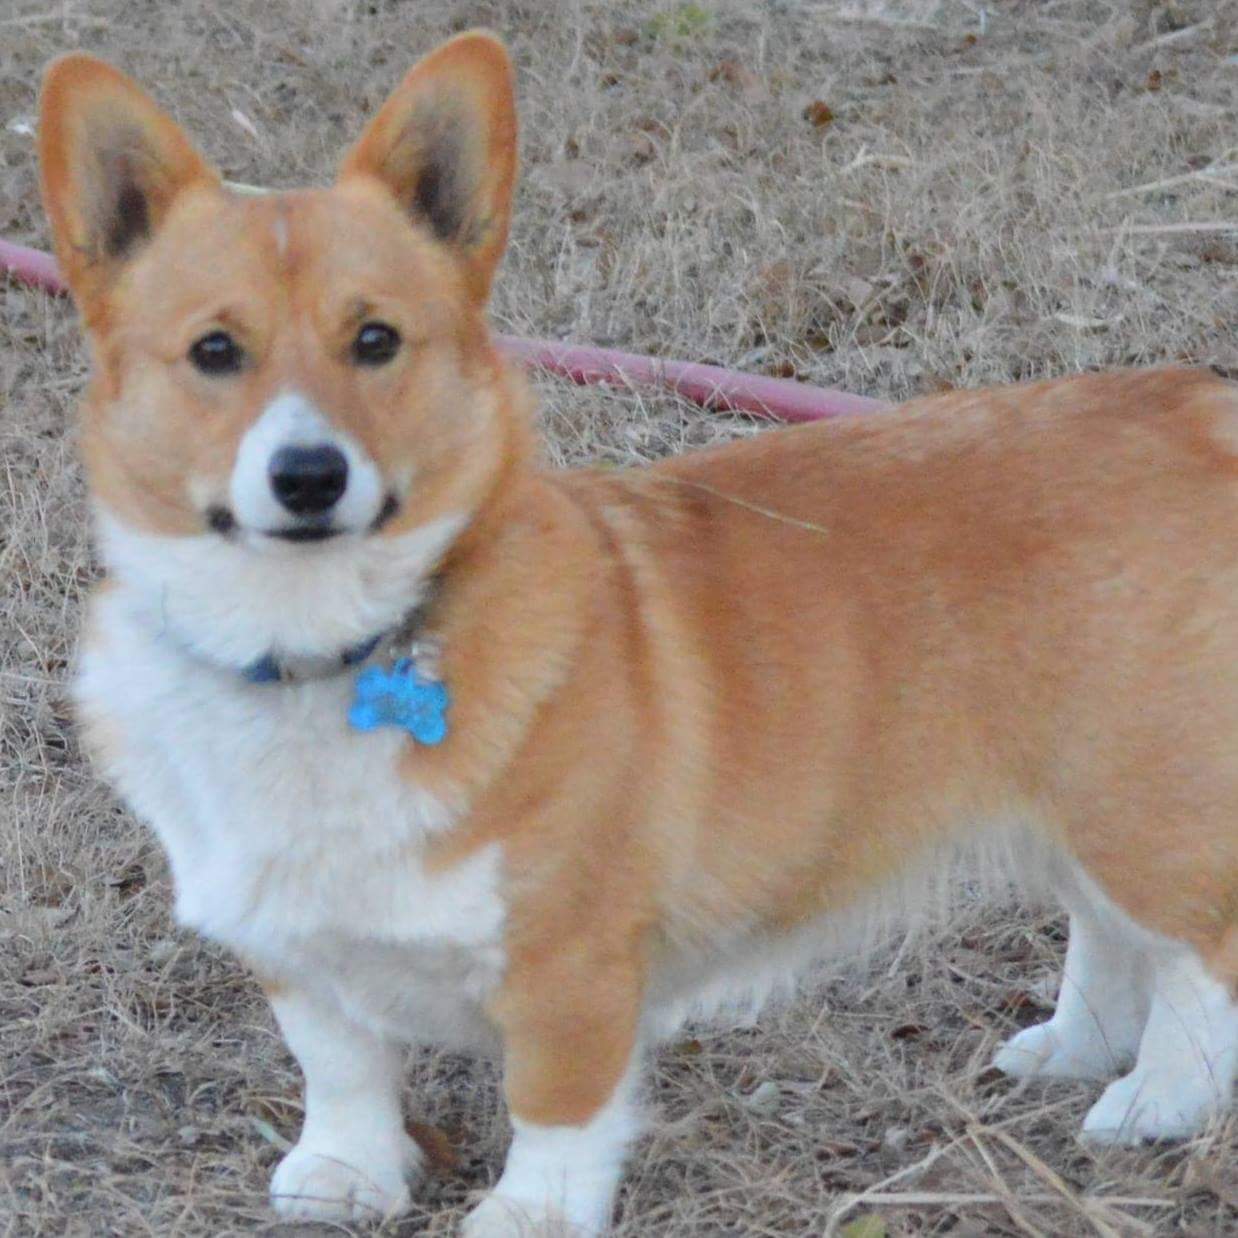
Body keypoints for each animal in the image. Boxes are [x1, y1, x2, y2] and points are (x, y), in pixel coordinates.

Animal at [38, 29, 1238, 1238]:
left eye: (375, 340)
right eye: (214, 351)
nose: (308, 475)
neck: (314, 646)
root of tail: (1195, 407)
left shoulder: (571, 959)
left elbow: (554, 1102)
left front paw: (527, 1213)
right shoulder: (289, 945)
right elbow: (337, 1063)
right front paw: (342, 1174)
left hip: (1139, 790)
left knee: (1197, 950)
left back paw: (1156, 1098)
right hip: (1073, 793)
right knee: (1109, 923)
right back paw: (1076, 1047)